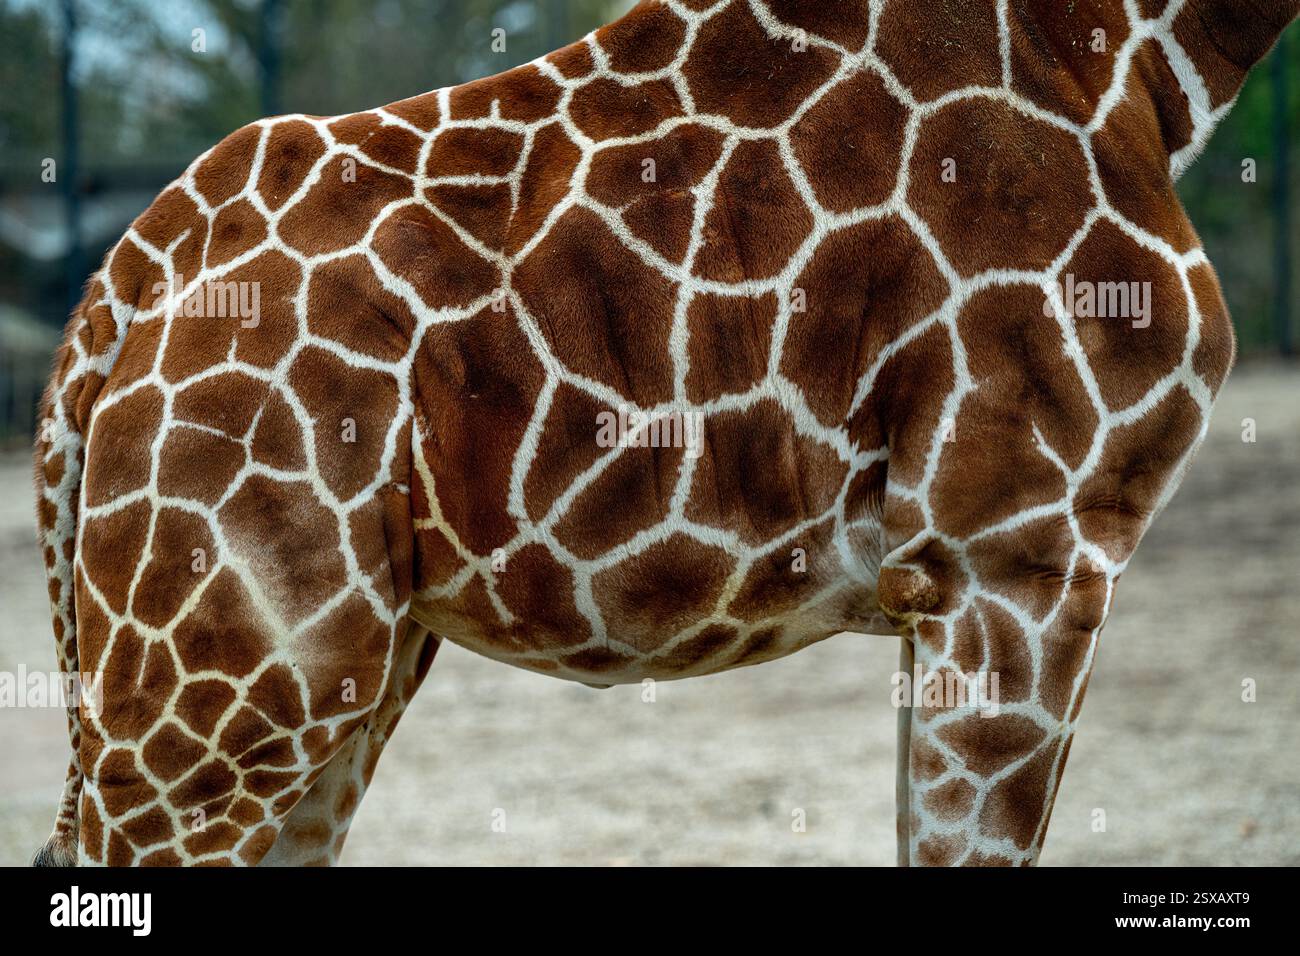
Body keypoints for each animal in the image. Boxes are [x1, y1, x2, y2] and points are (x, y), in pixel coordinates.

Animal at [29, 0, 1297, 867]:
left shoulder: (957, 575)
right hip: (230, 684)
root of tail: (121, 285)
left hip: (333, 671)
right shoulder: (1019, 546)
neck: (1121, 48)